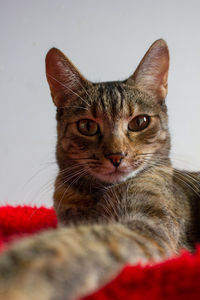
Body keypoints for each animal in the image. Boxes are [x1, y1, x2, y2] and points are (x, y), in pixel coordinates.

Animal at [0, 39, 200, 300]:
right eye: (87, 126)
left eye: (139, 122)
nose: (116, 155)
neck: (99, 193)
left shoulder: (151, 227)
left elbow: (88, 240)